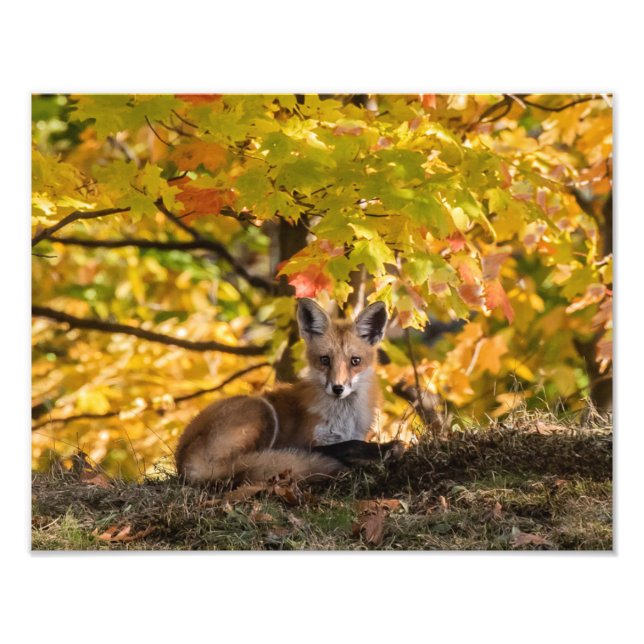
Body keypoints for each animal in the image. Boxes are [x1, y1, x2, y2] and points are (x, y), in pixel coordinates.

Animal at [175, 298, 405, 485]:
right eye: (325, 360)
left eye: (355, 361)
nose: (338, 388)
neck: (342, 417)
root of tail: (183, 462)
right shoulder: (307, 442)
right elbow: (349, 445)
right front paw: (382, 450)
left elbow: (351, 442)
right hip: (261, 410)